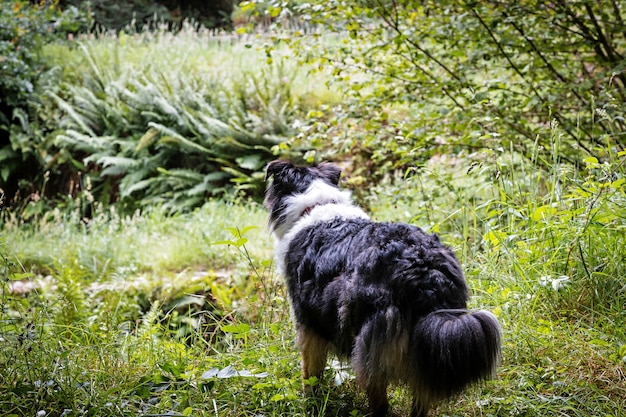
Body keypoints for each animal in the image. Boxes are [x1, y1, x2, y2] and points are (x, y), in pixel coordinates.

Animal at [264, 160, 502, 416]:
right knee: (422, 396)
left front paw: (311, 402)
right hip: (429, 343)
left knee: (378, 394)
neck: (317, 206)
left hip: (371, 341)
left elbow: (310, 371)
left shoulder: (307, 321)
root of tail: (424, 268)